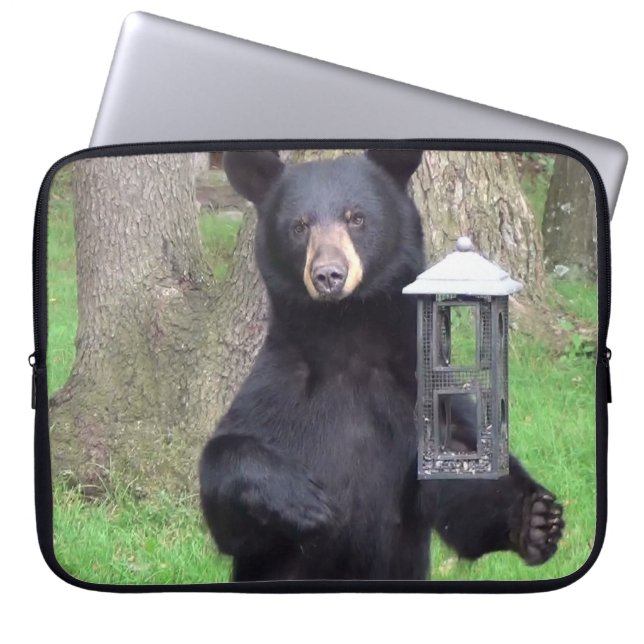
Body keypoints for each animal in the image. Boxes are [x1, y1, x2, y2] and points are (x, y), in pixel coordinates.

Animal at [199, 149, 564, 581]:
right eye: (299, 226)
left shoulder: (418, 389)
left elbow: (463, 477)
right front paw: (305, 500)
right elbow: (227, 494)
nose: (328, 275)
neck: (348, 337)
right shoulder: (279, 387)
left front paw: (536, 518)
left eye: (356, 218)